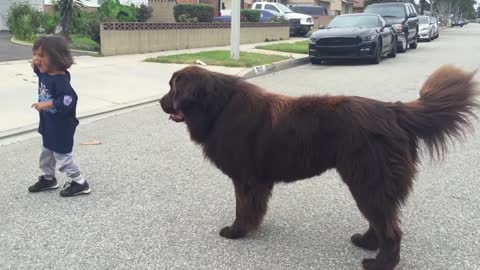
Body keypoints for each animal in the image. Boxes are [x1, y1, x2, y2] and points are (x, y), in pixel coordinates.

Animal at [160, 64, 476, 268]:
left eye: (173, 87)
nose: (161, 103)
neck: (218, 107)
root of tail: (393, 110)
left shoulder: (245, 178)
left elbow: (243, 207)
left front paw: (236, 231)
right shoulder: (257, 180)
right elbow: (255, 207)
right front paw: (251, 227)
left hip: (368, 180)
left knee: (390, 229)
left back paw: (379, 262)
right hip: (369, 183)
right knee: (381, 220)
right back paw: (366, 242)